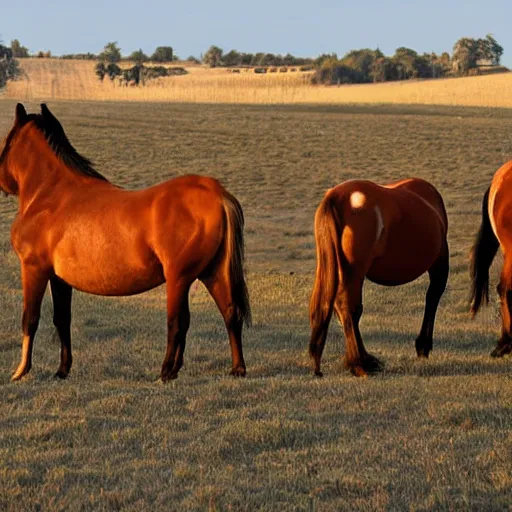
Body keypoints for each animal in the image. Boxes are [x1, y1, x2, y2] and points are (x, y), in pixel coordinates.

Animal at [0, 104, 251, 382]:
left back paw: (166, 371)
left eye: (7, 141)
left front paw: (20, 371)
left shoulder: (34, 268)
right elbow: (62, 319)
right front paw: (62, 370)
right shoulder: (59, 278)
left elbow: (30, 319)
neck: (51, 196)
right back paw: (234, 368)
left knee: (177, 322)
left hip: (179, 279)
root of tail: (217, 193)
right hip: (212, 273)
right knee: (229, 313)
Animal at [308, 179, 448, 376]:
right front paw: (423, 345)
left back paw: (360, 360)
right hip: (355, 271)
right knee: (349, 307)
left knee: (341, 308)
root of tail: (337, 196)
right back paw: (360, 362)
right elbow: (433, 297)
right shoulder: (440, 258)